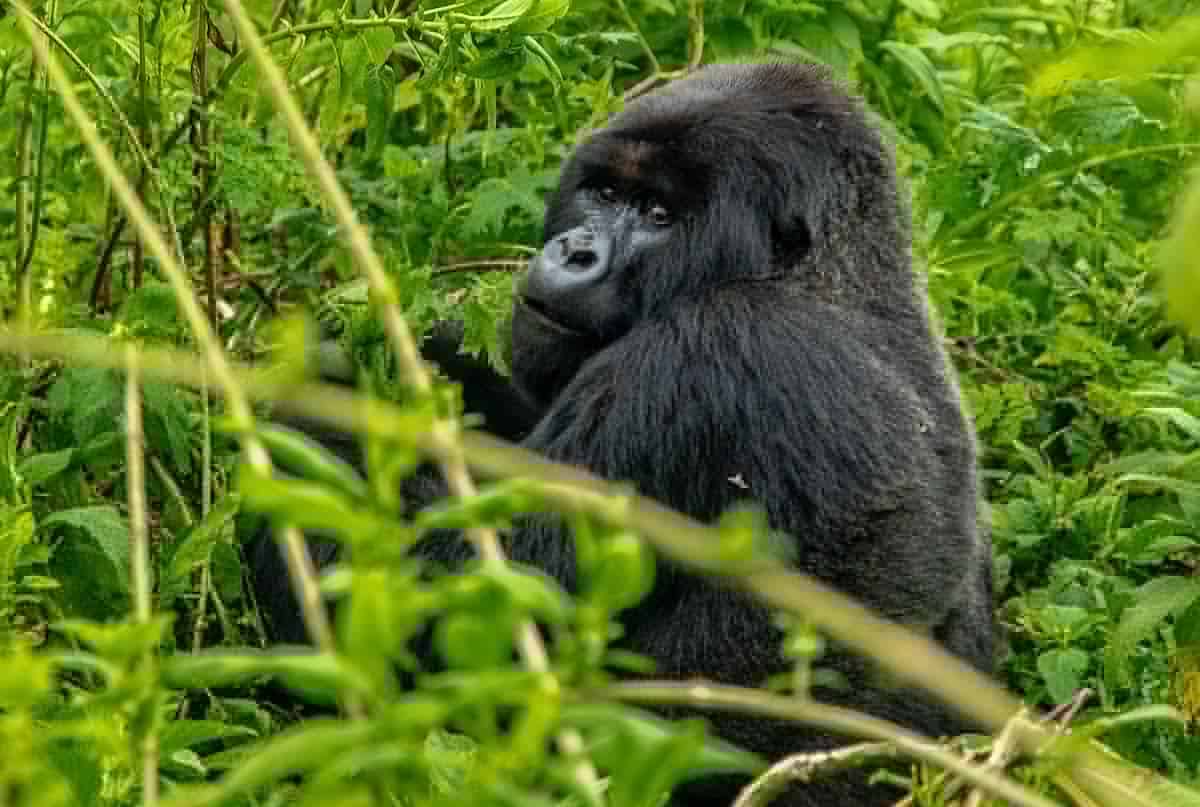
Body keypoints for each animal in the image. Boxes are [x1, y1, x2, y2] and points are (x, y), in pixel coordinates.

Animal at [248, 63, 998, 806]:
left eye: (659, 216)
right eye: (605, 192)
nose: (576, 252)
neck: (821, 274)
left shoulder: (708, 353)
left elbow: (458, 605)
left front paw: (306, 396)